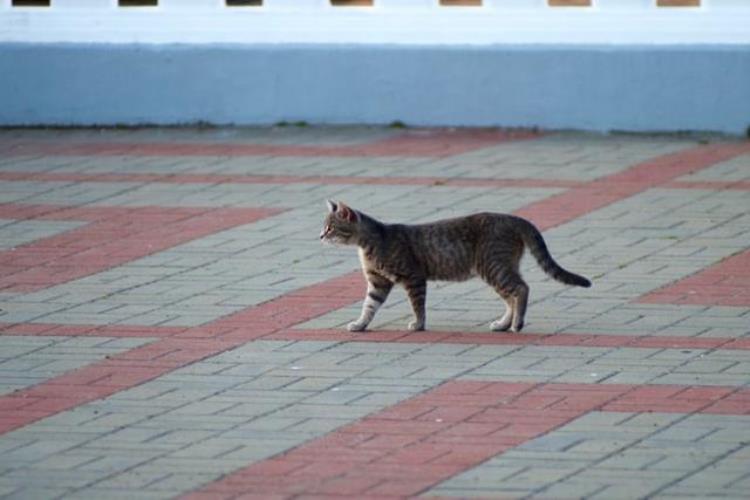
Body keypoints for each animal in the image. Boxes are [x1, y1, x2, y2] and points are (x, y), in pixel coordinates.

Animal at [320, 199, 592, 332]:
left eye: (330, 227)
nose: (320, 236)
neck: (371, 242)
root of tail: (515, 218)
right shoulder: (378, 281)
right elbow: (369, 306)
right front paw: (360, 324)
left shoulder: (413, 277)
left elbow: (417, 306)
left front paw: (419, 325)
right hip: (498, 268)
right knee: (511, 297)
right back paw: (504, 324)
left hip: (493, 267)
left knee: (521, 290)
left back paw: (516, 324)